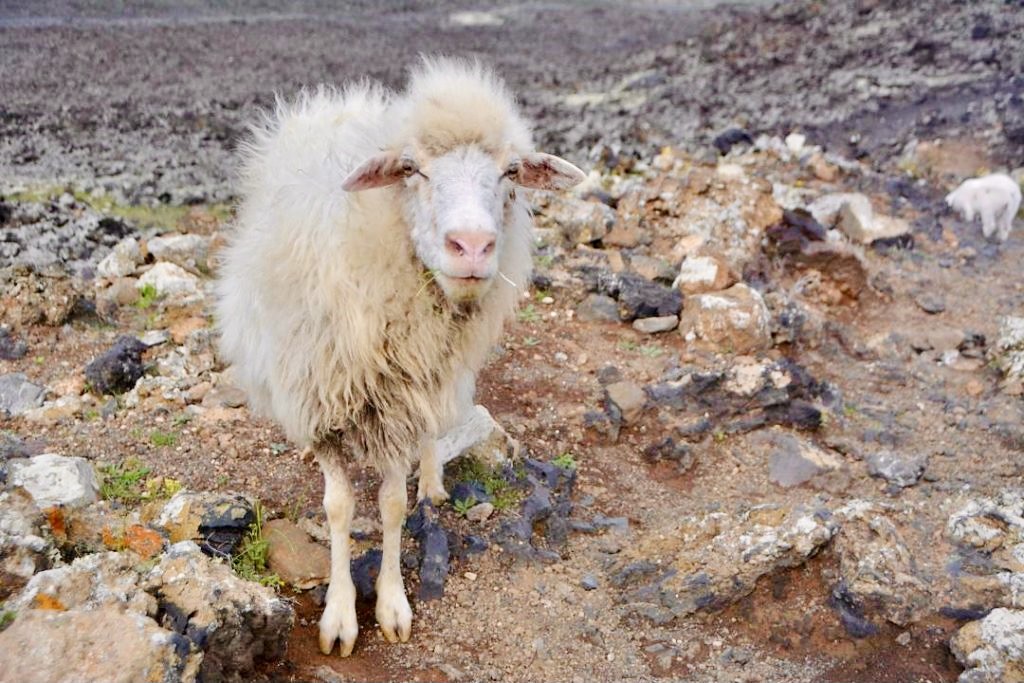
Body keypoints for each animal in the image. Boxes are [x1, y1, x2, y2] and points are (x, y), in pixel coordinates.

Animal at [216, 60, 585, 655]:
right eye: (411, 168)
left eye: (510, 172)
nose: (472, 247)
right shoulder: (324, 402)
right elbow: (340, 508)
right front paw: (340, 615)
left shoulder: (401, 402)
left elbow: (391, 505)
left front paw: (392, 605)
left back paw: (431, 480)